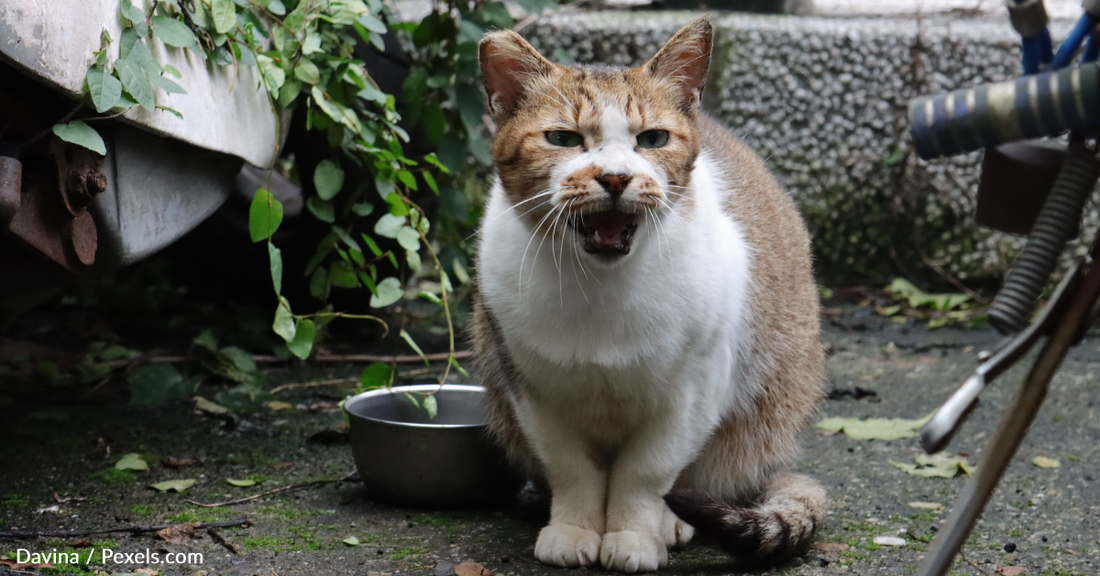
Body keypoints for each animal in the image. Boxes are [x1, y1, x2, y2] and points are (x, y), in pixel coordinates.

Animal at [470, 16, 827, 571]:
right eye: (562, 138)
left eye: (653, 138)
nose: (615, 177)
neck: (601, 290)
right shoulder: (532, 389)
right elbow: (570, 468)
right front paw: (574, 528)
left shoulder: (692, 395)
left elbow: (645, 474)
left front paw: (634, 535)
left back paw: (672, 522)